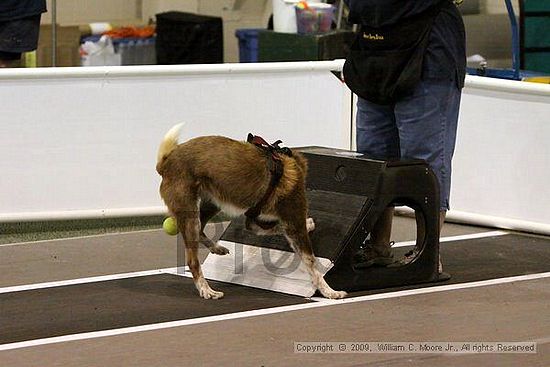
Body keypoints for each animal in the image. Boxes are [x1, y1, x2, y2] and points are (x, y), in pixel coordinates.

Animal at [155, 123, 348, 300]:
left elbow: (269, 228)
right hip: (190, 213)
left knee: (201, 230)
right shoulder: (293, 220)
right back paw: (207, 290)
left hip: (213, 202)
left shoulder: (256, 219)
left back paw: (217, 248)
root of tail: (165, 162)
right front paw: (330, 291)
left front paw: (308, 224)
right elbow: (312, 263)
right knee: (193, 260)